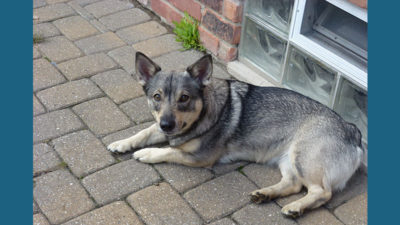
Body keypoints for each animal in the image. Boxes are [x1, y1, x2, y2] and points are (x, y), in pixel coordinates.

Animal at [108, 51, 364, 217]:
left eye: (184, 98)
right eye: (157, 97)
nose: (167, 125)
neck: (206, 110)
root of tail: (352, 129)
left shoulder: (200, 157)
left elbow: (168, 151)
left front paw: (148, 153)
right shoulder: (161, 128)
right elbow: (143, 132)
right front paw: (122, 143)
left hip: (303, 158)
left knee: (322, 192)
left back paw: (296, 207)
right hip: (289, 161)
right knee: (292, 185)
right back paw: (265, 194)